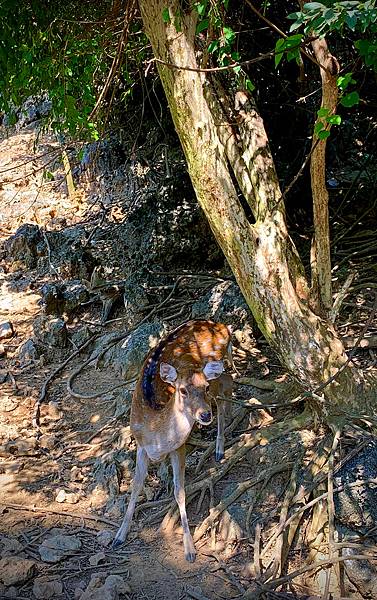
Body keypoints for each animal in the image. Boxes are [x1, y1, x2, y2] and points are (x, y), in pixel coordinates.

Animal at [111, 318, 232, 564]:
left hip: (217, 373)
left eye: (203, 387)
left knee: (223, 395)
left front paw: (190, 549)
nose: (204, 415)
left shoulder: (179, 447)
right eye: (182, 390)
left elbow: (180, 491)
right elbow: (136, 486)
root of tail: (221, 324)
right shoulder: (141, 446)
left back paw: (219, 448)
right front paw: (119, 535)